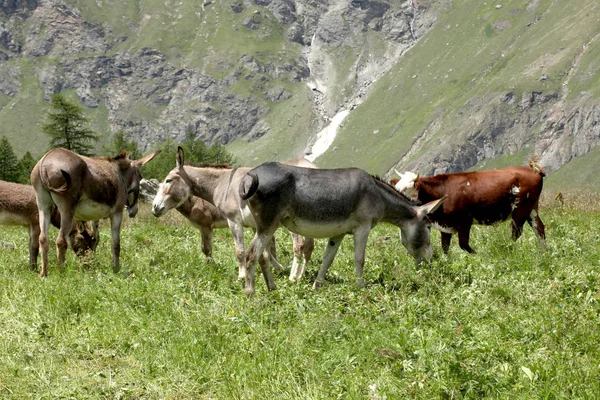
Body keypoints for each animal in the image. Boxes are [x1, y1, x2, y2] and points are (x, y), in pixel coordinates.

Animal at [392, 163, 548, 253]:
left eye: (407, 188)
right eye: (397, 187)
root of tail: (533, 171)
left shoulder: (465, 222)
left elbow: (464, 245)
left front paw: (479, 255)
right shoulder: (445, 226)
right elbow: (445, 248)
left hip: (521, 210)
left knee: (516, 233)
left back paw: (510, 249)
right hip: (532, 209)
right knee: (539, 229)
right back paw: (544, 252)